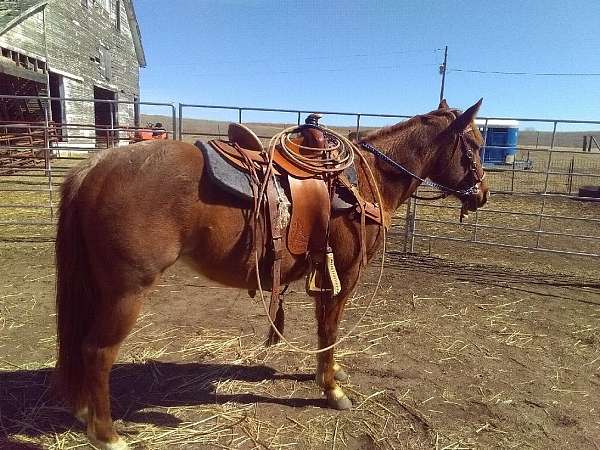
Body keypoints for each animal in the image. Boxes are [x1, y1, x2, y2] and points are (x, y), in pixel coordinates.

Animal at [55, 99, 488, 450]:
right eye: (475, 145)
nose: (482, 195)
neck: (365, 181)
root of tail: (97, 166)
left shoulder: (323, 275)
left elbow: (323, 329)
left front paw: (328, 373)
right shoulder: (343, 276)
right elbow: (330, 330)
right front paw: (332, 390)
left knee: (81, 345)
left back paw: (83, 411)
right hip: (126, 292)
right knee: (98, 352)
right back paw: (107, 435)